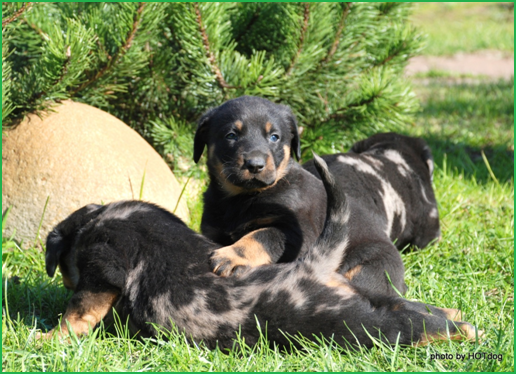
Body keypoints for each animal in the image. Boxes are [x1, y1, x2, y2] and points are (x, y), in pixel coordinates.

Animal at [39, 155, 480, 348]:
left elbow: (79, 312)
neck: (100, 219)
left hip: (356, 325)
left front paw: (48, 338)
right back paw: (460, 320)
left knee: (412, 326)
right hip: (368, 296)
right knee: (417, 308)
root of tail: (314, 266)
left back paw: (464, 333)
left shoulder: (101, 270)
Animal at [194, 96, 440, 298]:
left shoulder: (299, 233)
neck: (241, 199)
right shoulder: (212, 230)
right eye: (231, 135)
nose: (255, 165)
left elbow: (262, 235)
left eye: (274, 137)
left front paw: (230, 256)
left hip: (371, 266)